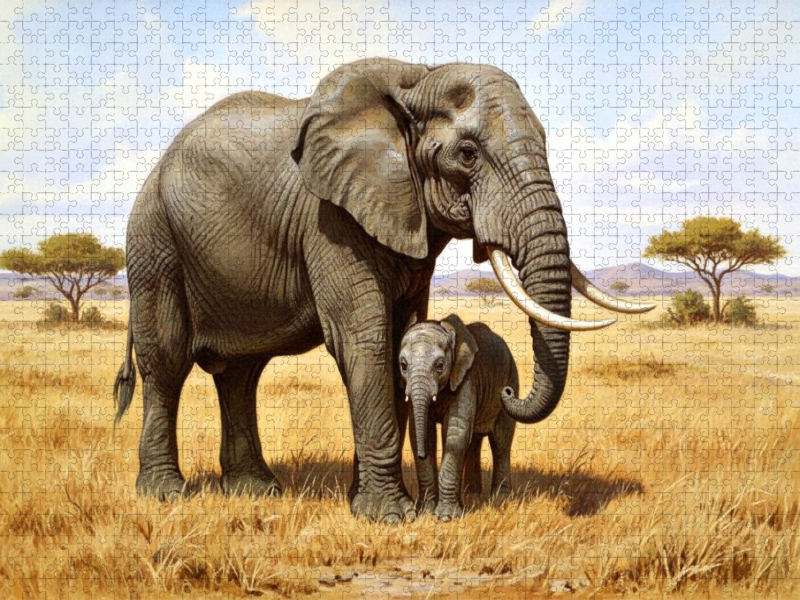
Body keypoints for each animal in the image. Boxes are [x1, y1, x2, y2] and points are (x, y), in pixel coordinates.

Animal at [399, 314, 519, 521]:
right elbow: (422, 433)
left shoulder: (466, 378)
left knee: (500, 442)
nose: (421, 454)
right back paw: (472, 497)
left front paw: (446, 517)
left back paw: (500, 500)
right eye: (403, 366)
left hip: (510, 380)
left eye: (440, 366)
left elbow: (456, 434)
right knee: (475, 441)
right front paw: (426, 512)